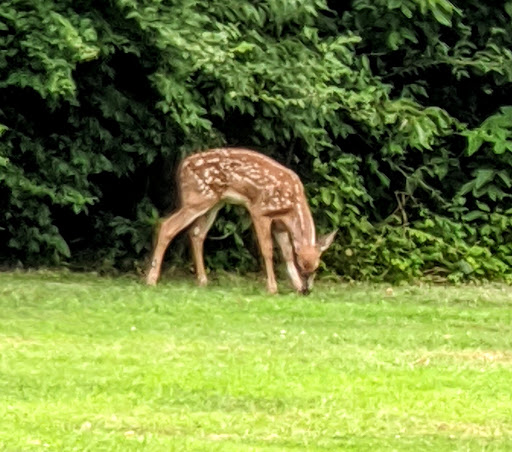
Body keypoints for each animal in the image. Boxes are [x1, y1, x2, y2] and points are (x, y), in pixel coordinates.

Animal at [145, 148, 336, 294]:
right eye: (302, 265)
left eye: (315, 268)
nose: (306, 290)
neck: (292, 204)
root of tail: (182, 167)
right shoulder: (260, 211)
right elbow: (267, 250)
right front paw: (273, 288)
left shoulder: (280, 224)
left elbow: (287, 252)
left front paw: (295, 286)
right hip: (197, 198)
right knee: (166, 225)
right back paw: (151, 279)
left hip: (214, 203)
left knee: (197, 234)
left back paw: (203, 280)